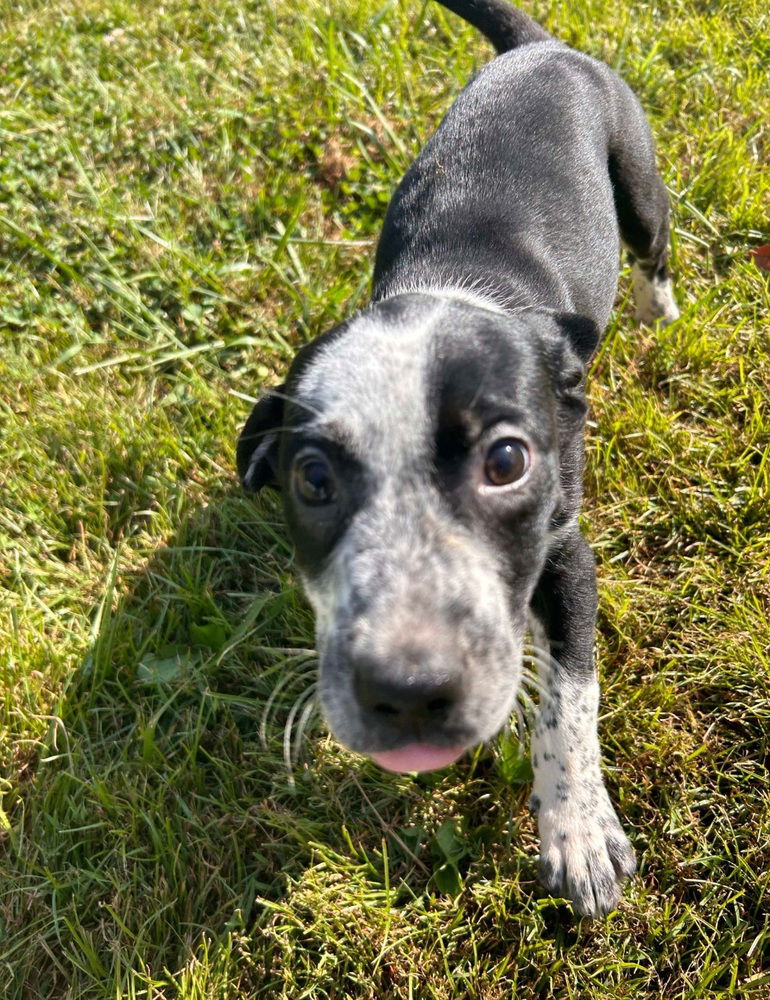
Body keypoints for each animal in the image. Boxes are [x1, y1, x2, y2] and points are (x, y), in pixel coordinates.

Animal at [236, 0, 680, 916]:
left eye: (507, 462)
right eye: (312, 479)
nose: (406, 693)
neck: (451, 288)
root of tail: (542, 50)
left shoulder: (567, 557)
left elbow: (569, 699)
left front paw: (577, 833)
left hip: (638, 177)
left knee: (655, 243)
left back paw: (659, 308)